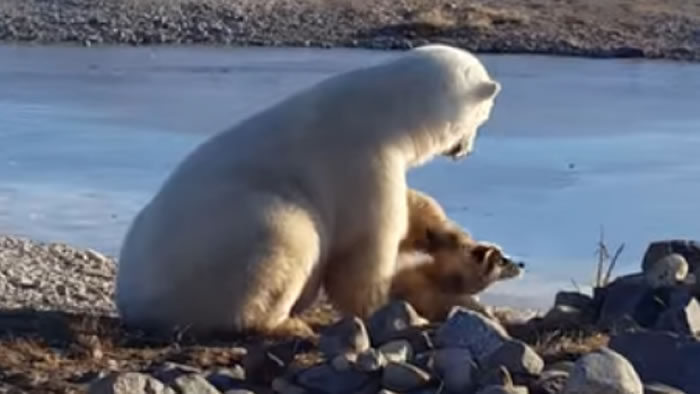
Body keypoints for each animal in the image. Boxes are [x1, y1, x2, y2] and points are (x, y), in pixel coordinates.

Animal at [115, 44, 500, 338]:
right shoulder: (363, 159)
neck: (390, 108)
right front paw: (391, 309)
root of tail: (133, 302)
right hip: (232, 240)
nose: (466, 151)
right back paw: (286, 325)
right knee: (289, 239)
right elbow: (364, 247)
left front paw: (453, 237)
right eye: (484, 116)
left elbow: (411, 209)